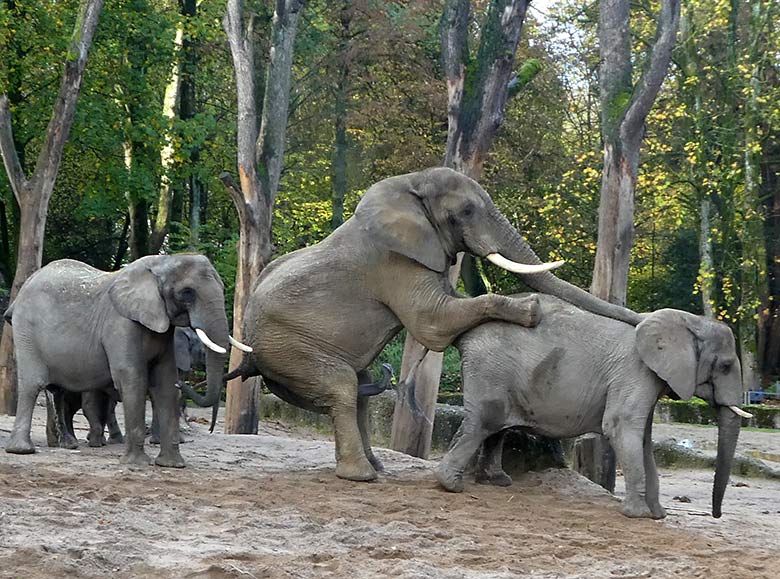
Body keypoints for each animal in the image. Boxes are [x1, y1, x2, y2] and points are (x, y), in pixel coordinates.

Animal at [3, 256, 247, 468]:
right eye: (187, 293)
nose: (186, 383)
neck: (162, 262)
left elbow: (165, 383)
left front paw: (172, 465)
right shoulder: (121, 323)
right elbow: (132, 378)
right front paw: (136, 464)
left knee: (56, 392)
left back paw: (66, 445)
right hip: (26, 331)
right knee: (33, 384)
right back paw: (23, 450)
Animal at [187, 165, 640, 482]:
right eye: (467, 211)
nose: (641, 320)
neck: (410, 184)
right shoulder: (395, 261)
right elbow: (433, 322)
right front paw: (529, 310)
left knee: (358, 390)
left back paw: (376, 468)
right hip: (289, 346)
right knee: (343, 386)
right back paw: (362, 476)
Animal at [432, 294, 748, 520]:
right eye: (726, 365)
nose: (716, 515)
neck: (688, 321)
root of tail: (465, 336)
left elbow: (643, 440)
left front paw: (658, 516)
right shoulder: (635, 372)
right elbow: (621, 427)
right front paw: (638, 515)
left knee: (494, 426)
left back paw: (496, 481)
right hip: (489, 371)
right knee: (483, 421)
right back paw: (451, 484)